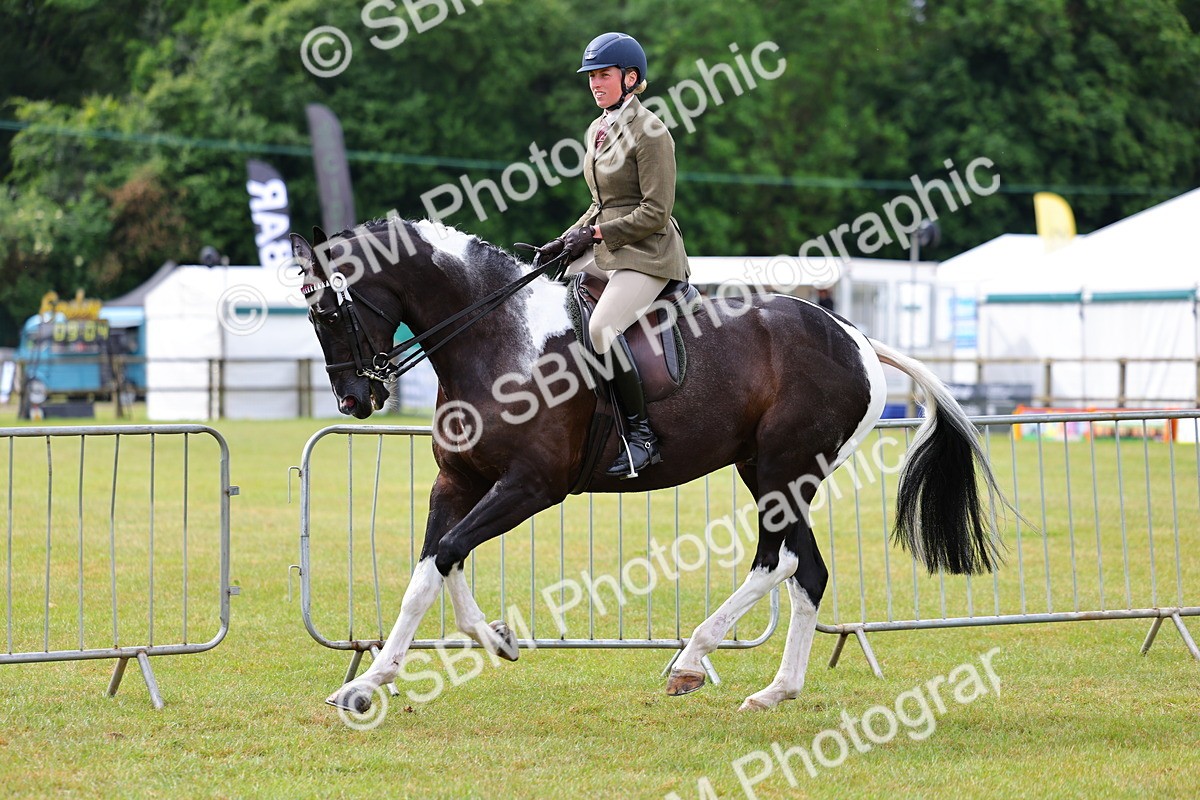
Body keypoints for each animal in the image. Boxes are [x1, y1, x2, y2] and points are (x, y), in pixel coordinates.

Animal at [291, 216, 1007, 713]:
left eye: (328, 311)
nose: (354, 401)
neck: (499, 337)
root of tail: (854, 335)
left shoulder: (531, 486)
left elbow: (442, 557)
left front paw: (385, 677)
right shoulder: (458, 480)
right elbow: (435, 565)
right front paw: (462, 648)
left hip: (784, 471)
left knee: (787, 564)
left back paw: (704, 662)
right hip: (763, 471)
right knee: (800, 568)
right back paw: (763, 686)